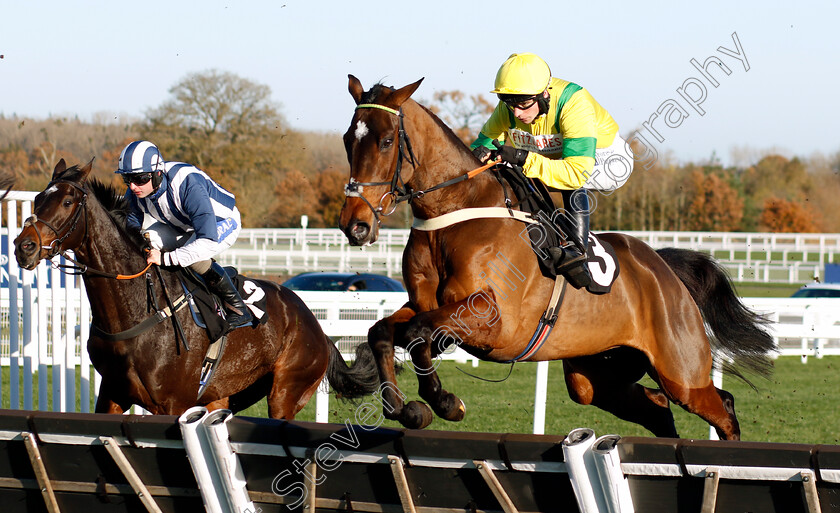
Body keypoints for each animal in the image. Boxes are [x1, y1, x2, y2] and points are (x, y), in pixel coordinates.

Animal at [15, 159, 380, 416]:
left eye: (67, 202)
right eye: (37, 199)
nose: (24, 247)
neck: (136, 314)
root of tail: (314, 322)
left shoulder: (173, 404)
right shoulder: (112, 394)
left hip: (286, 392)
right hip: (222, 396)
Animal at [338, 76, 772, 440]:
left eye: (386, 141)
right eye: (347, 139)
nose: (354, 225)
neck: (454, 212)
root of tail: (665, 271)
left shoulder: (494, 321)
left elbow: (417, 333)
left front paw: (445, 402)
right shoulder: (426, 304)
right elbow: (384, 332)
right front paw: (405, 407)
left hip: (681, 370)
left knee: (721, 406)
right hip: (596, 376)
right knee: (657, 405)